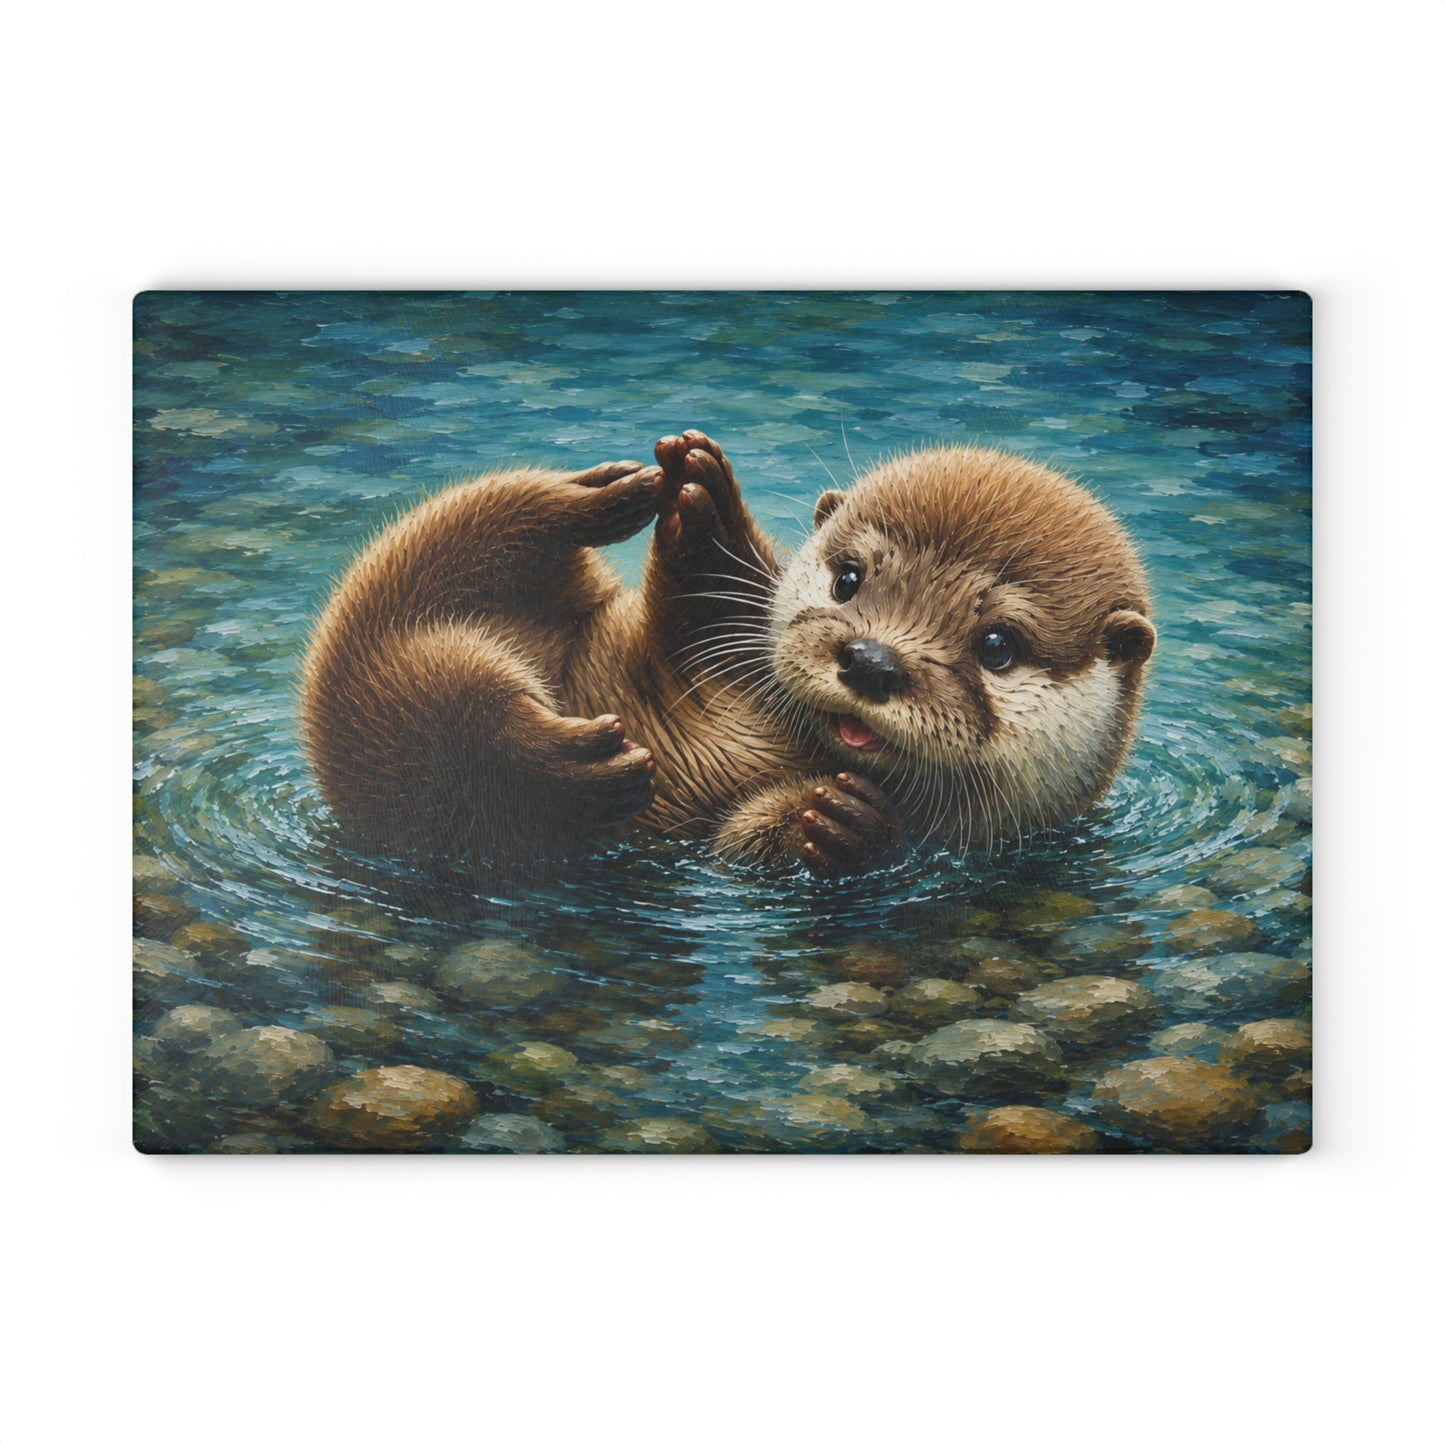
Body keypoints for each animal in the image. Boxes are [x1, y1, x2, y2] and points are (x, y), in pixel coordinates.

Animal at [300, 431, 1154, 875]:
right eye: (848, 577)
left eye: (997, 646)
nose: (870, 659)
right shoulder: (691, 654)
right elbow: (699, 609)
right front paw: (703, 501)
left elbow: (750, 840)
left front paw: (847, 823)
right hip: (416, 572)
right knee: (490, 525)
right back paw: (607, 490)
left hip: (393, 749)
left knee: (455, 741)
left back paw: (566, 769)